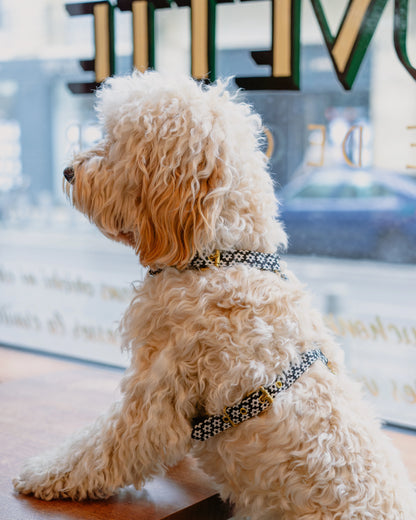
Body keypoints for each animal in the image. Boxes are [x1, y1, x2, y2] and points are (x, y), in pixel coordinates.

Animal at [13, 72, 416, 520]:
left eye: (116, 141)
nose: (67, 171)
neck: (220, 256)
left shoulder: (158, 393)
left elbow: (102, 448)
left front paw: (45, 473)